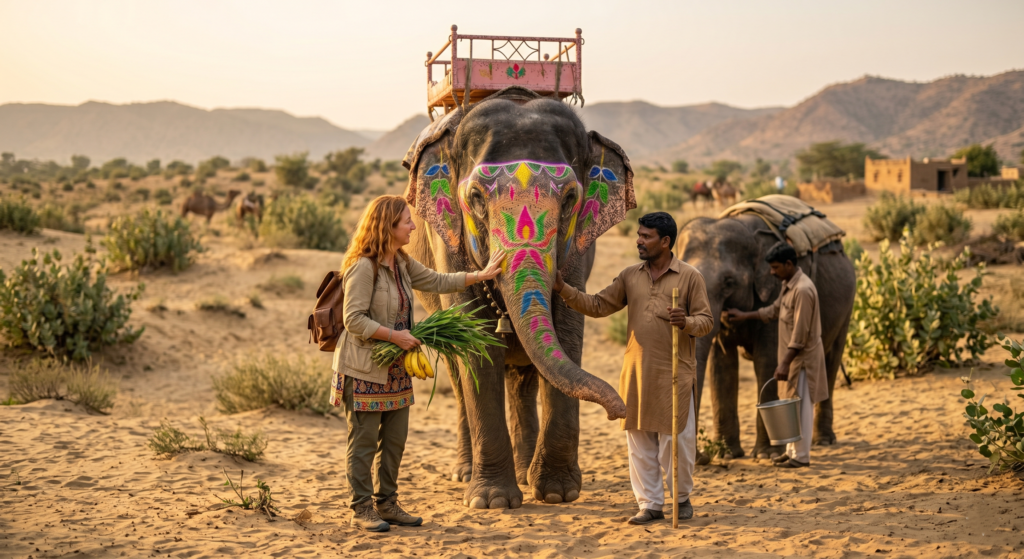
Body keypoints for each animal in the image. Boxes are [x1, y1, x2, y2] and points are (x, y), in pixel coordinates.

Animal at [402, 86, 635, 510]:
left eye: (570, 198)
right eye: (476, 197)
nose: (620, 412)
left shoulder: (580, 250)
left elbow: (567, 333)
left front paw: (558, 493)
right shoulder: (449, 242)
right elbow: (477, 346)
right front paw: (492, 502)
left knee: (523, 377)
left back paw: (527, 471)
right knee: (459, 377)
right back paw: (465, 473)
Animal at [677, 213, 856, 460]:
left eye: (729, 283)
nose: (702, 456)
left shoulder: (773, 291)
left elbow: (767, 357)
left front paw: (766, 455)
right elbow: (721, 363)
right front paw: (726, 455)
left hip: (846, 307)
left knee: (830, 362)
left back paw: (823, 441)